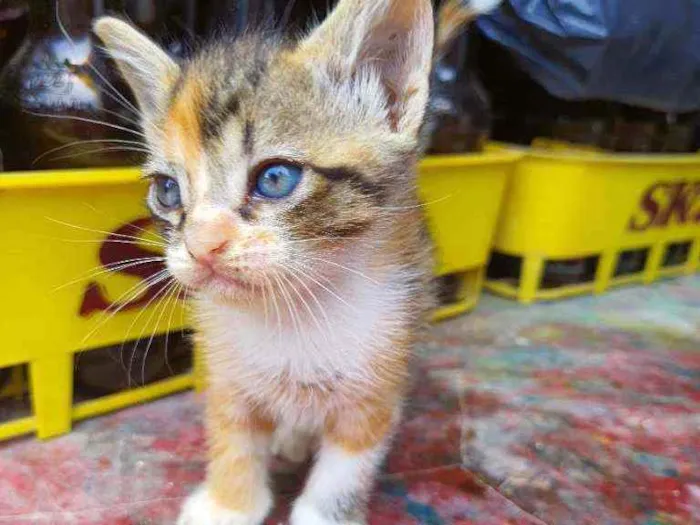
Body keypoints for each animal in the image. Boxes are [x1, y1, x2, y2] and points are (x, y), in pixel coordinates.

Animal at [95, 1, 500, 524]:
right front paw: (228, 505)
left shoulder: (377, 380)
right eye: (167, 191)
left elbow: (346, 468)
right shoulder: (227, 374)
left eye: (275, 178)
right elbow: (232, 441)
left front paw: (323, 511)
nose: (201, 245)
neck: (292, 312)